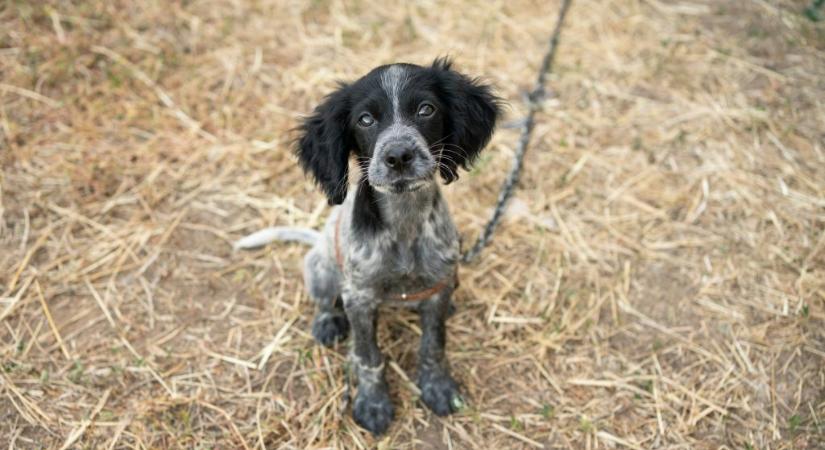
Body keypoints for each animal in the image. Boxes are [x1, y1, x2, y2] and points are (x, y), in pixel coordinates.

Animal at [235, 58, 498, 434]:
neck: (404, 224)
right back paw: (328, 322)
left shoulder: (437, 284)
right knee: (324, 300)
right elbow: (368, 356)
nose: (399, 155)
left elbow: (433, 346)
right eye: (365, 119)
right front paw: (373, 403)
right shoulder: (359, 297)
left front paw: (438, 387)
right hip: (321, 268)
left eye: (426, 109)